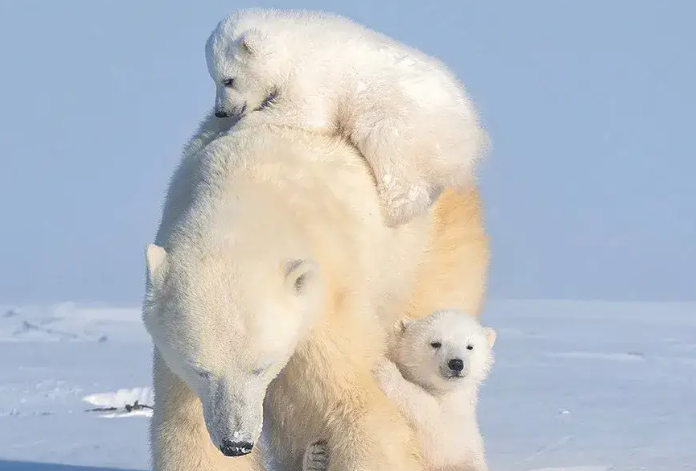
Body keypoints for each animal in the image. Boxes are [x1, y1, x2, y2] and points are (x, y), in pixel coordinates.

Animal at [203, 8, 489, 228]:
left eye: (228, 80)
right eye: (214, 79)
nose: (221, 111)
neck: (291, 44)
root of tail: (473, 139)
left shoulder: (310, 75)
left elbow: (305, 112)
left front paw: (229, 129)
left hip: (410, 124)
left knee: (388, 151)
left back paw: (390, 211)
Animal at [302, 309, 496, 471]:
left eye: (470, 346)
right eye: (435, 343)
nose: (456, 363)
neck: (443, 391)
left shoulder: (457, 424)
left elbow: (435, 426)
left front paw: (384, 369)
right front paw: (315, 456)